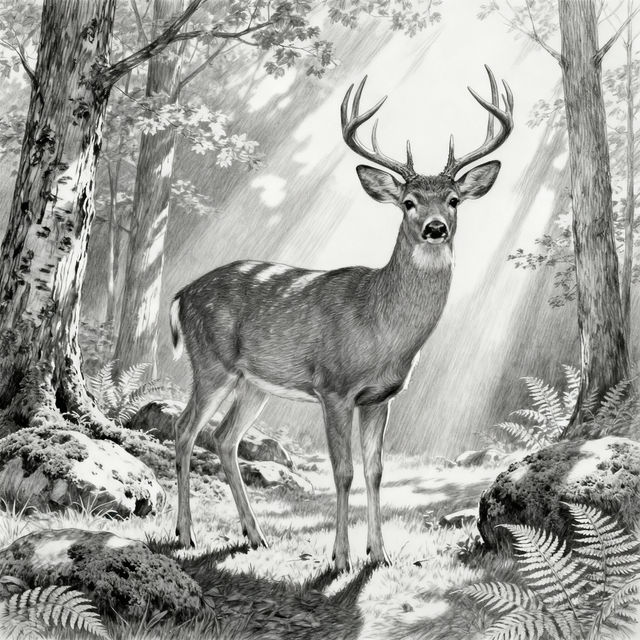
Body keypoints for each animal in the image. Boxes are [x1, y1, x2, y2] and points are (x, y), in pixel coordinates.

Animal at [170, 65, 513, 571]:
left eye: (453, 199)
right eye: (408, 202)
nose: (435, 228)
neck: (380, 327)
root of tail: (181, 294)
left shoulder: (380, 397)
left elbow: (375, 470)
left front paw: (380, 554)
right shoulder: (333, 387)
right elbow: (344, 471)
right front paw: (340, 558)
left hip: (253, 382)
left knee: (224, 438)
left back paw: (255, 535)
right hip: (211, 362)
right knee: (184, 430)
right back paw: (186, 533)